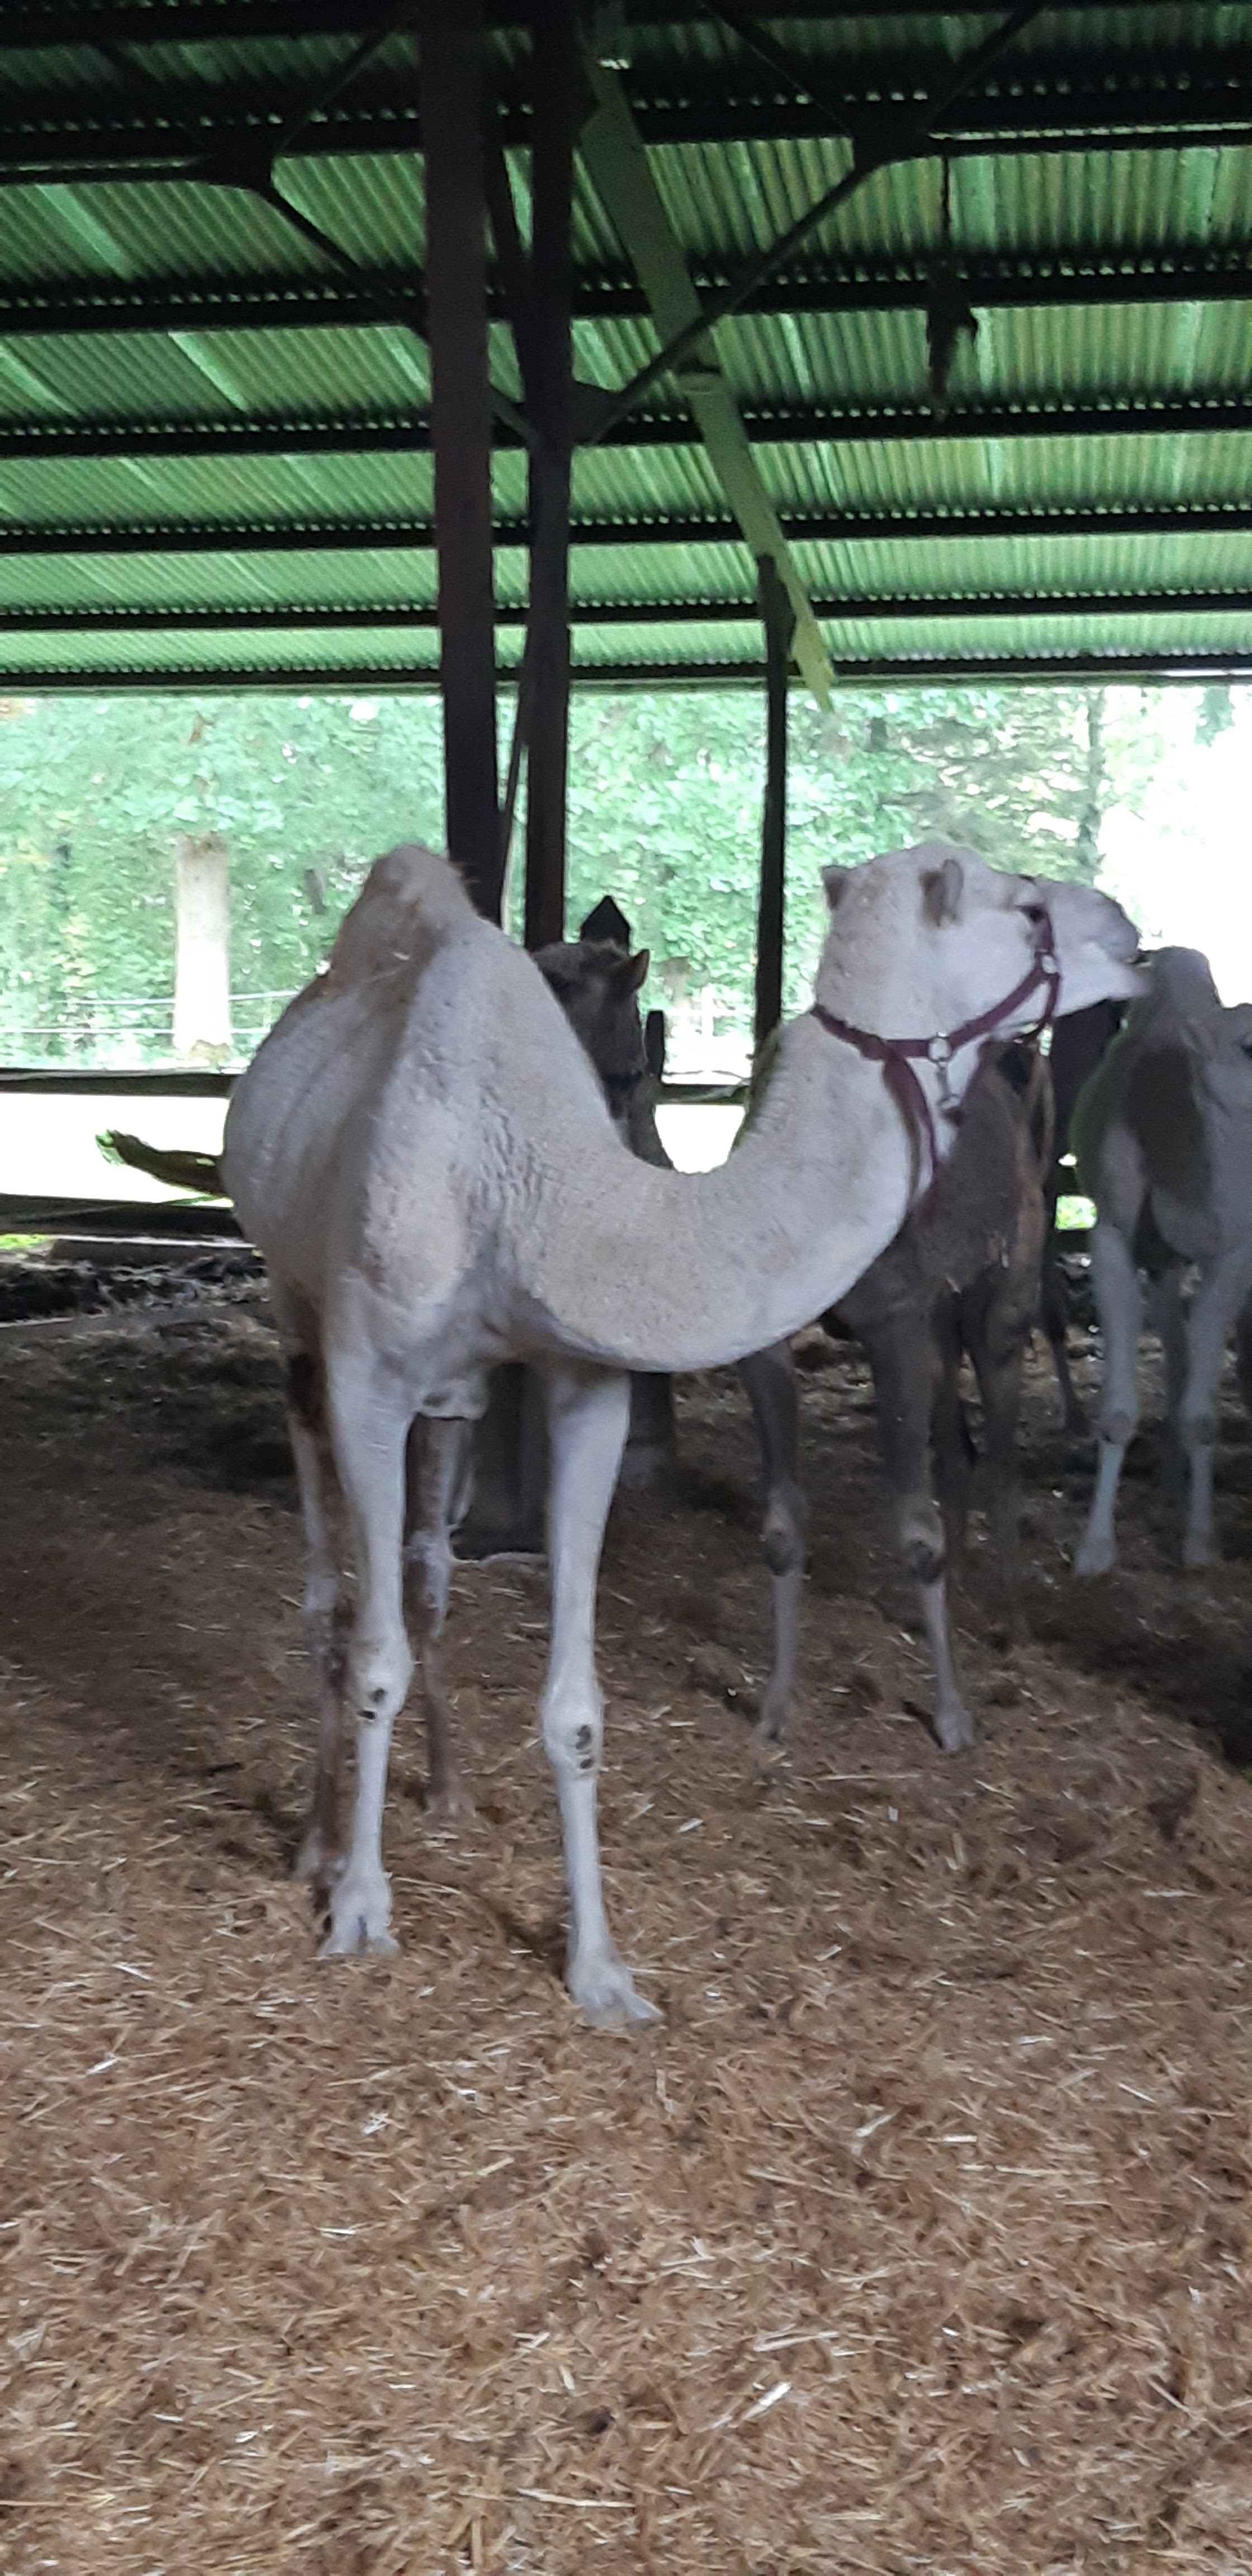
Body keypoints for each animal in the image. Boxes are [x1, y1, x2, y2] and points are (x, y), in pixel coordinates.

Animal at [222, 838, 1141, 2024]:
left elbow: (575, 1705)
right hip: (298, 1316)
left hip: (457, 1393)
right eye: (1023, 905)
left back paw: (448, 1790)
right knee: (330, 1593)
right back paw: (319, 1846)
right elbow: (373, 1654)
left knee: (429, 1567)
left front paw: (601, 1970)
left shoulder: (586, 1384)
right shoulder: (369, 1374)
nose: (1126, 929)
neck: (532, 1192)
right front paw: (362, 1912)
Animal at [1073, 947, 1252, 1576]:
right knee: (1173, 1354)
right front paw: (1094, 1550)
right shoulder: (1112, 1239)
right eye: (1249, 1045)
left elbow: (1202, 1415)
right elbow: (1118, 1412)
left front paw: (1199, 1542)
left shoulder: (1231, 1251)